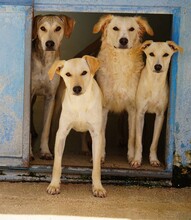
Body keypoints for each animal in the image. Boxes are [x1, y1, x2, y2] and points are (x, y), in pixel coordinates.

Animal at [31, 14, 75, 159]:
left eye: (58, 28)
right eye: (42, 28)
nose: (49, 43)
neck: (46, 61)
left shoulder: (51, 97)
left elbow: (46, 129)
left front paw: (45, 151)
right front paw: (29, 153)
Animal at [45, 55, 106, 198]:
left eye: (84, 72)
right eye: (68, 74)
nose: (76, 88)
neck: (80, 102)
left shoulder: (96, 134)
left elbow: (96, 166)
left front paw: (98, 187)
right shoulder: (62, 133)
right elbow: (57, 164)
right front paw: (54, 185)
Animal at [92, 15, 154, 163]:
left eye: (131, 29)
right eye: (115, 28)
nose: (123, 40)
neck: (121, 62)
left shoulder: (133, 108)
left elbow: (132, 136)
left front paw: (131, 157)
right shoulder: (103, 108)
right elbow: (102, 135)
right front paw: (100, 156)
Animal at [131, 40, 183, 168]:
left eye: (166, 54)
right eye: (151, 54)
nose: (158, 66)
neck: (155, 82)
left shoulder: (160, 116)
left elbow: (154, 141)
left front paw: (154, 159)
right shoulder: (140, 114)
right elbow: (138, 141)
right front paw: (137, 159)